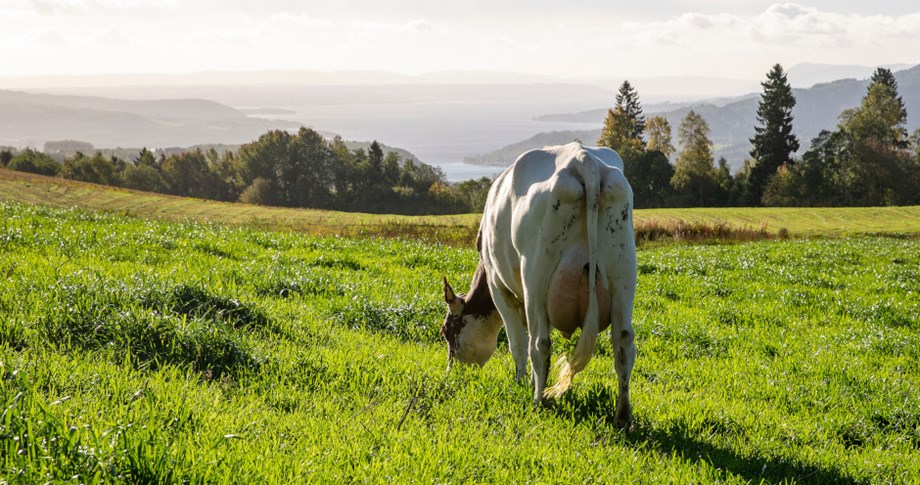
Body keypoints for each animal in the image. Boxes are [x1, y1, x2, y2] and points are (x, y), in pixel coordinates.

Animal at [442, 141, 636, 428]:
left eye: (446, 331)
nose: (450, 371)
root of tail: (583, 159)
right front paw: (532, 382)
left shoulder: (500, 288)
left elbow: (517, 342)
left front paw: (522, 382)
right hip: (623, 272)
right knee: (623, 344)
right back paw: (622, 416)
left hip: (536, 275)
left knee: (539, 344)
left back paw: (538, 402)